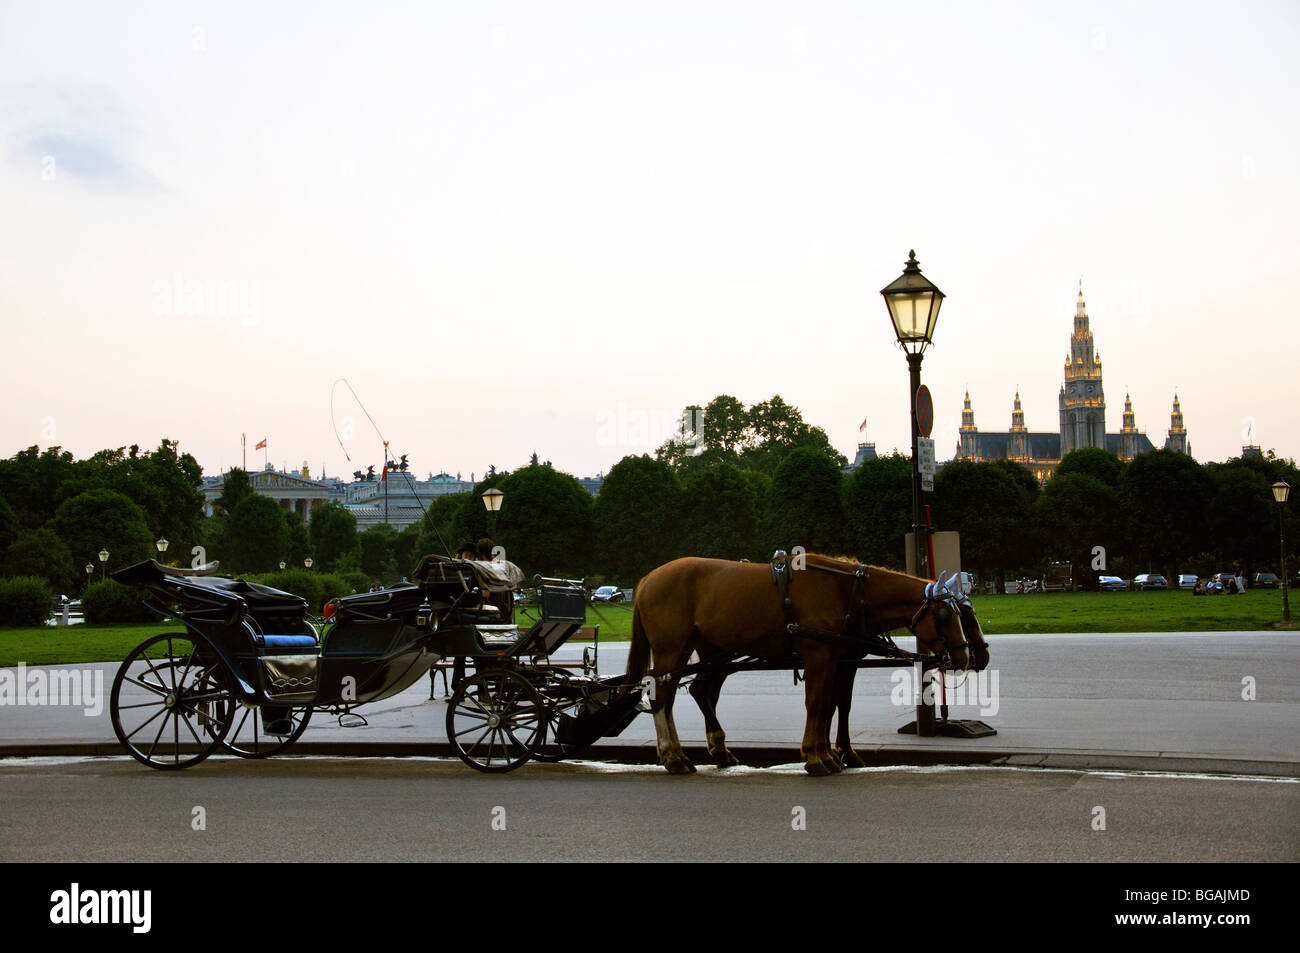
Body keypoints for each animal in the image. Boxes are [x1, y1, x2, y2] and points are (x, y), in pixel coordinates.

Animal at [627, 554, 980, 775]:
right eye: (945, 615)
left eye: (962, 612)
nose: (965, 658)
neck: (847, 592)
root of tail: (646, 579)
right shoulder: (819, 655)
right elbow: (817, 704)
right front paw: (816, 755)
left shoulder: (838, 658)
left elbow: (831, 705)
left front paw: (830, 753)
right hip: (672, 649)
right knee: (663, 698)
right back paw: (673, 755)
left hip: (713, 650)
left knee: (701, 691)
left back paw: (714, 750)